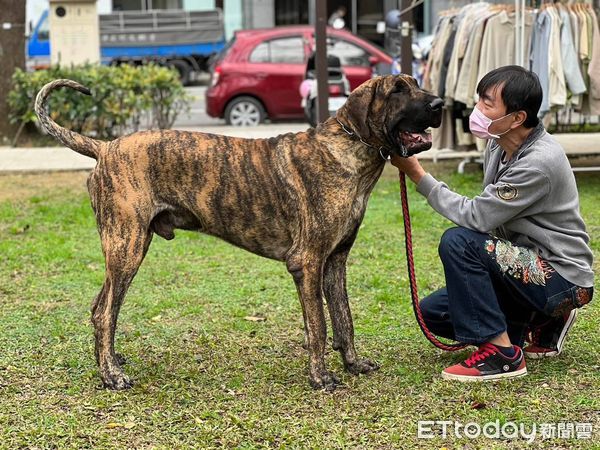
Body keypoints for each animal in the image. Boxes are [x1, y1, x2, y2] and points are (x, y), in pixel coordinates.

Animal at [35, 74, 442, 390]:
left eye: (416, 83)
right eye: (398, 90)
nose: (439, 103)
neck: (348, 148)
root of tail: (105, 147)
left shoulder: (335, 262)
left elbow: (345, 319)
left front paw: (354, 364)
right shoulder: (307, 263)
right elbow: (320, 326)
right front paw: (321, 377)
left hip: (125, 249)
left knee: (100, 307)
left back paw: (110, 361)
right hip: (127, 247)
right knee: (105, 312)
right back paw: (111, 375)